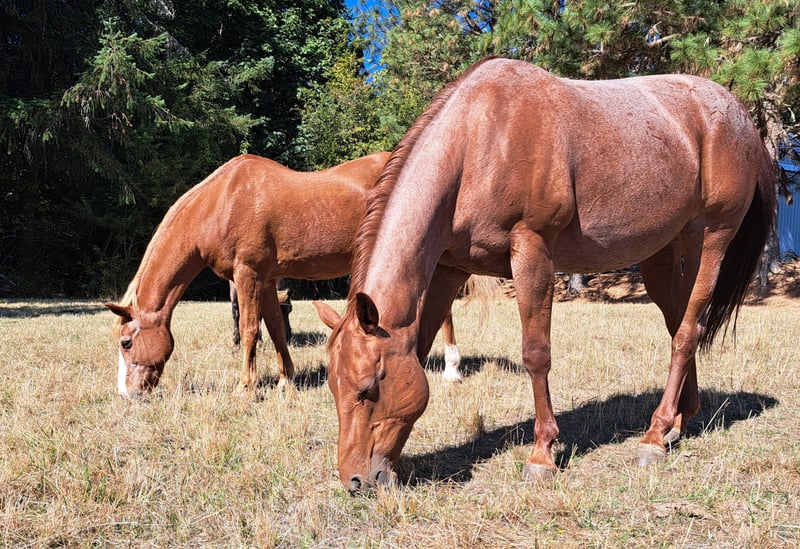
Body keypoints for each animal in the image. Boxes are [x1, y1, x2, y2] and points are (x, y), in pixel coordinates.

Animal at [105, 152, 465, 400]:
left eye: (126, 342)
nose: (126, 394)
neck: (221, 203)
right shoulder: (265, 280)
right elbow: (276, 329)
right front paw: (285, 380)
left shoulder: (247, 274)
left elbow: (250, 330)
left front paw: (245, 388)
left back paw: (452, 369)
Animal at [321, 57, 777, 491]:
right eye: (333, 387)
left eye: (368, 389)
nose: (356, 480)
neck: (479, 141)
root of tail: (737, 113)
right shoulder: (450, 269)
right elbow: (422, 345)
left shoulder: (532, 251)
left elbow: (536, 354)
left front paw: (542, 454)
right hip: (664, 252)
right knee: (681, 322)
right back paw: (678, 422)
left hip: (710, 238)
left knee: (686, 331)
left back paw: (654, 435)